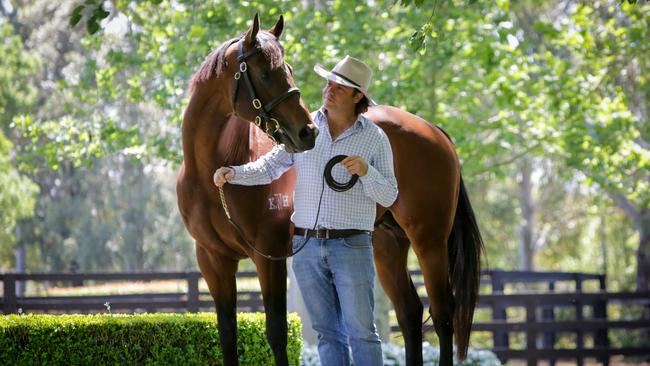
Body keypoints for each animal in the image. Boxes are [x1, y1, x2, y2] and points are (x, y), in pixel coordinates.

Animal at [177, 12, 480, 364]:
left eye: (288, 69)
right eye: (265, 73)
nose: (307, 132)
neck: (212, 176)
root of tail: (433, 131)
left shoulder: (269, 255)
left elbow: (276, 332)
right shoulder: (213, 259)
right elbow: (226, 333)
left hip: (429, 240)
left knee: (443, 314)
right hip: (387, 243)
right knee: (410, 312)